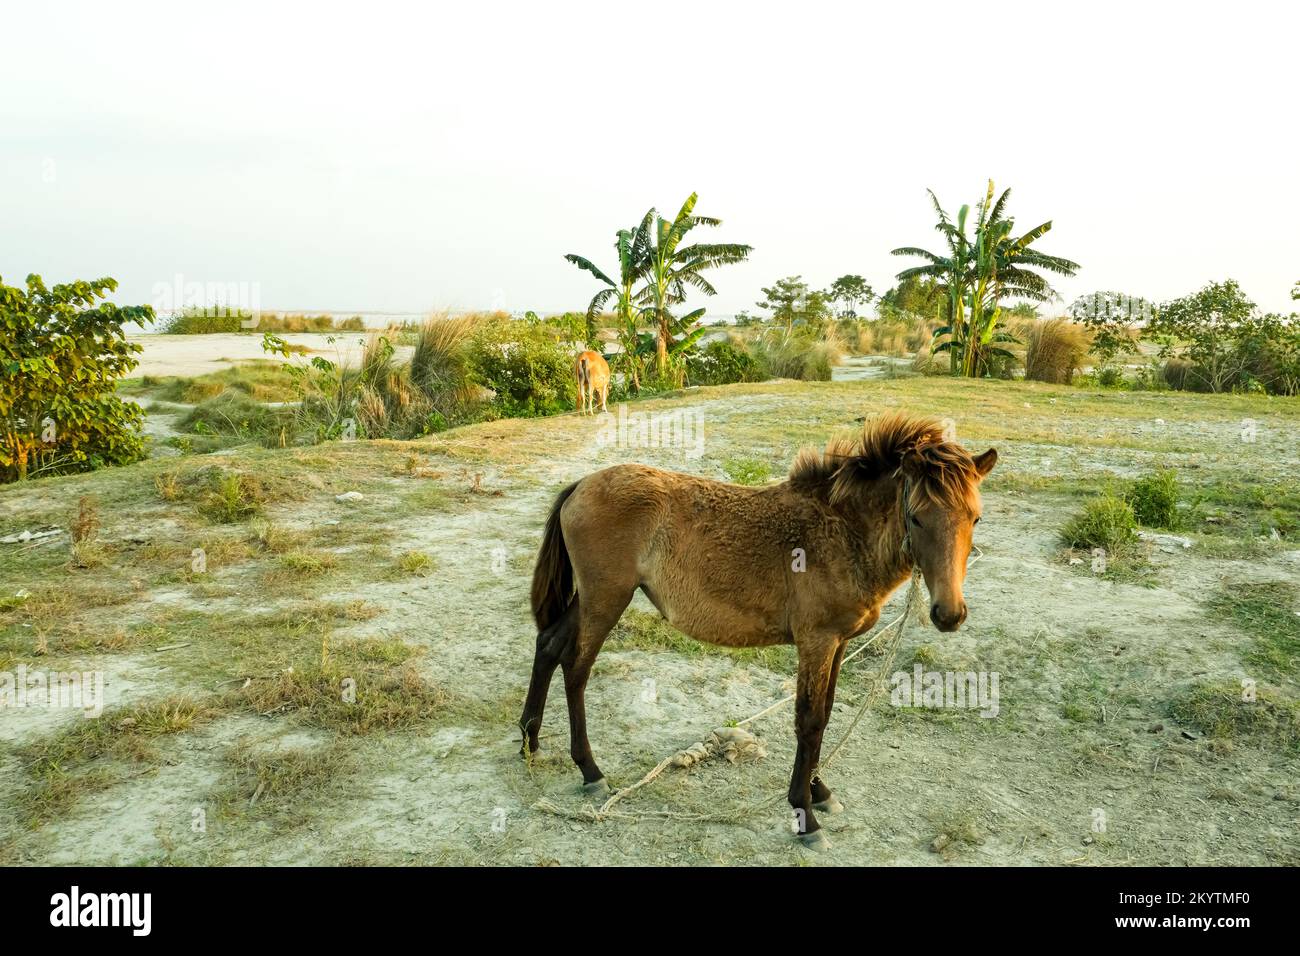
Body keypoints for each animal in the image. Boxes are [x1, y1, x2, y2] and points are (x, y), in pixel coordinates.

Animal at [517, 413, 993, 853]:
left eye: (975, 518)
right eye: (916, 517)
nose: (949, 614)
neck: (842, 531)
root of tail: (581, 484)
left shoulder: (838, 644)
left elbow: (826, 713)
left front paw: (820, 792)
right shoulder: (816, 642)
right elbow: (809, 721)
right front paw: (805, 815)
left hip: (589, 600)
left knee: (549, 645)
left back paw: (529, 742)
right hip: (605, 601)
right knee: (576, 668)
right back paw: (590, 771)